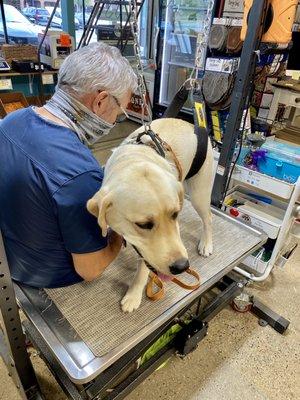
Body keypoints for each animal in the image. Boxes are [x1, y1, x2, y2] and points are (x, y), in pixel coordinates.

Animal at [86, 118, 213, 312]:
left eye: (174, 214)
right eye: (143, 225)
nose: (182, 267)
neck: (136, 159)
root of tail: (192, 125)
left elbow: (144, 269)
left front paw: (133, 295)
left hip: (199, 194)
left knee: (208, 218)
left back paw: (206, 244)